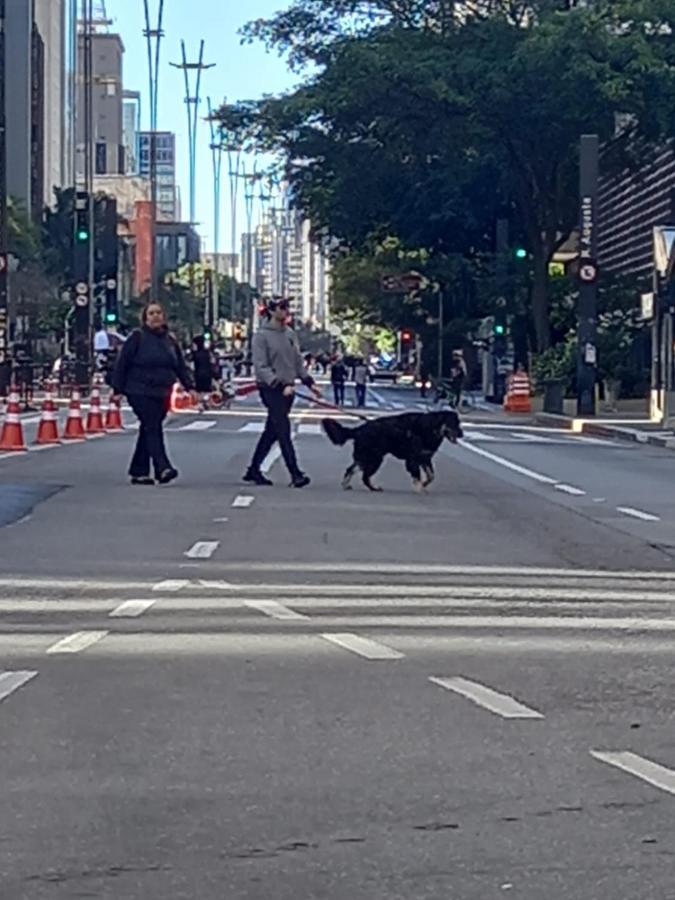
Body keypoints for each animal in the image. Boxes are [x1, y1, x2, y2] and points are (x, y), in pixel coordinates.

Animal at [322, 410, 464, 492]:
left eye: (459, 423)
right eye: (453, 423)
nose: (462, 434)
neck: (430, 427)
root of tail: (359, 429)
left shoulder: (425, 458)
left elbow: (431, 476)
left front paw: (423, 484)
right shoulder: (413, 460)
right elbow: (418, 475)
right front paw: (419, 488)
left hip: (366, 458)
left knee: (351, 469)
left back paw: (347, 485)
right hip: (375, 459)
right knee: (364, 476)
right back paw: (374, 488)